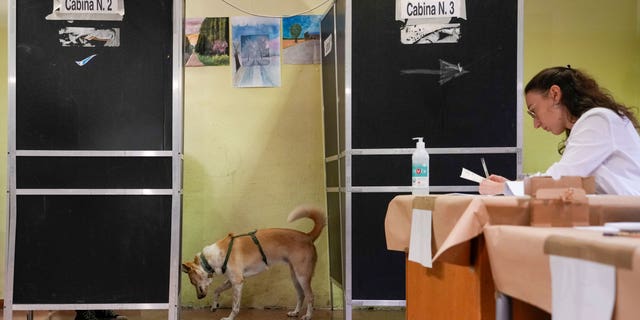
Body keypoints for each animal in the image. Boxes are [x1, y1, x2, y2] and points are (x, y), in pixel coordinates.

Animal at [182, 206, 328, 320]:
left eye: (193, 282)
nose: (199, 298)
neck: (210, 258)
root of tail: (307, 236)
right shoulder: (232, 280)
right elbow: (217, 290)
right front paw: (214, 305)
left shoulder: (237, 282)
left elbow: (235, 305)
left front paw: (229, 318)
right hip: (295, 276)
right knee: (301, 295)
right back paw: (295, 312)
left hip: (302, 275)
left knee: (310, 296)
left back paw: (308, 315)